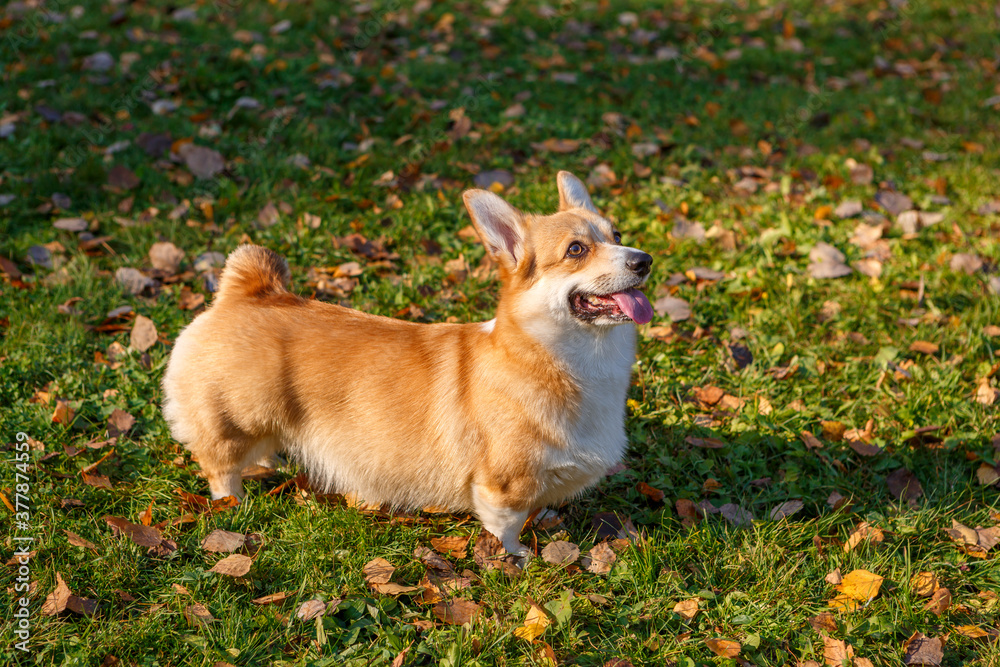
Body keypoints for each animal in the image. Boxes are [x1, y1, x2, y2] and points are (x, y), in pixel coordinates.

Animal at [160, 172, 652, 560]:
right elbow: (506, 526)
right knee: (220, 464)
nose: (644, 259)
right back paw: (234, 502)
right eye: (576, 250)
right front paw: (516, 558)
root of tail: (246, 290)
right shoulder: (503, 485)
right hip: (234, 419)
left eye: (616, 234)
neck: (568, 360)